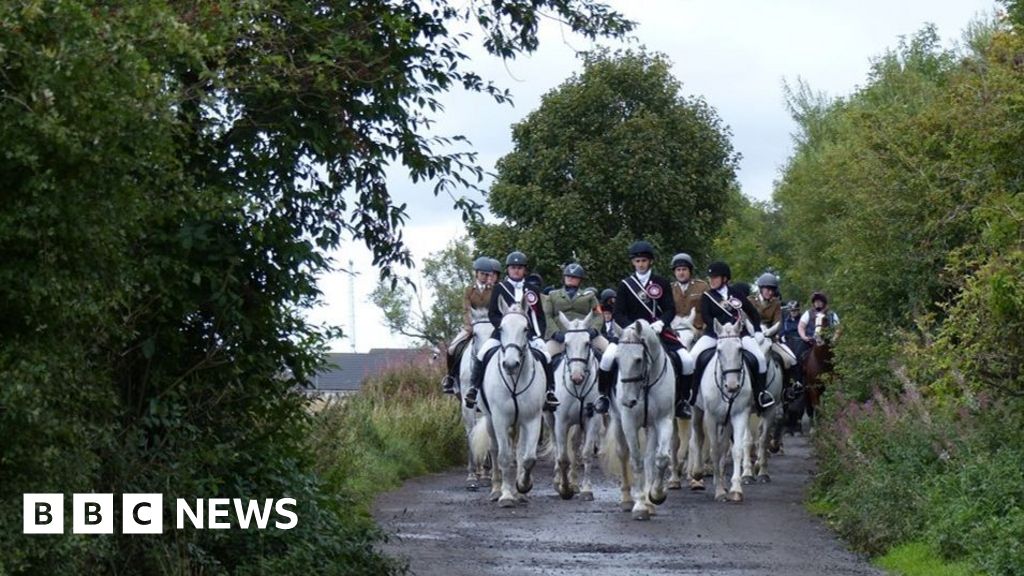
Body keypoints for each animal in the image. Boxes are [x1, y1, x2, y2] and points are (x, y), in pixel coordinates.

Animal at [471, 303, 548, 504]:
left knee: (520, 452)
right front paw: (506, 495)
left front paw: (523, 486)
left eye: (526, 328)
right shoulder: (500, 419)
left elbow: (529, 458)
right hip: (490, 420)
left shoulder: (532, 419)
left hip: (519, 423)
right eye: (501, 328)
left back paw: (520, 492)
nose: (510, 364)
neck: (515, 380)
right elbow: (504, 456)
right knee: (494, 449)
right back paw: (496, 489)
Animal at [548, 309, 602, 498]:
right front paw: (564, 489)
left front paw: (586, 489)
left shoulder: (592, 419)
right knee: (557, 446)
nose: (576, 377)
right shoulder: (561, 421)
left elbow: (586, 454)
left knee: (575, 446)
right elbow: (563, 457)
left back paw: (574, 481)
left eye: (587, 343)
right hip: (549, 418)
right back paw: (558, 480)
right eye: (566, 343)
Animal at [602, 317, 675, 520]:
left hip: (650, 426)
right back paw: (627, 499)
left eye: (638, 359)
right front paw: (640, 505)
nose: (628, 401)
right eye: (617, 359)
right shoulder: (629, 423)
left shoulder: (662, 420)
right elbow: (635, 460)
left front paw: (655, 496)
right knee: (623, 453)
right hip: (617, 420)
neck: (646, 384)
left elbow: (660, 458)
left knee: (650, 458)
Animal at [688, 315, 753, 500]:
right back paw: (698, 473)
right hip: (697, 411)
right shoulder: (710, 417)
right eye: (719, 351)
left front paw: (735, 489)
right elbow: (715, 450)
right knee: (698, 436)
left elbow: (735, 449)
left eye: (740, 350)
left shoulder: (738, 415)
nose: (732, 386)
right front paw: (718, 491)